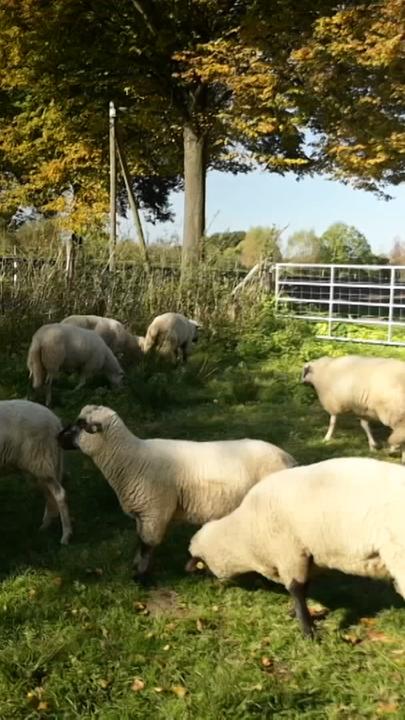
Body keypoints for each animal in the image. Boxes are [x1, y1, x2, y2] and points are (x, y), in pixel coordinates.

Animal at [0, 400, 71, 544]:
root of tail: (55, 420)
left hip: (41, 459)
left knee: (59, 494)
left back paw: (65, 536)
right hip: (40, 465)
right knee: (49, 494)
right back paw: (45, 527)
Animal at [57, 404, 297, 580]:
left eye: (81, 424)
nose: (58, 437)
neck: (129, 459)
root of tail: (288, 458)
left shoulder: (154, 512)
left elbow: (147, 545)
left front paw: (141, 576)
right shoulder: (143, 514)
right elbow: (140, 542)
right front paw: (136, 567)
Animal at [187, 456, 405, 637]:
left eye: (203, 566)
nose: (212, 587)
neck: (245, 535)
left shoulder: (289, 552)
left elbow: (296, 589)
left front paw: (308, 631)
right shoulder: (306, 555)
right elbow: (304, 586)